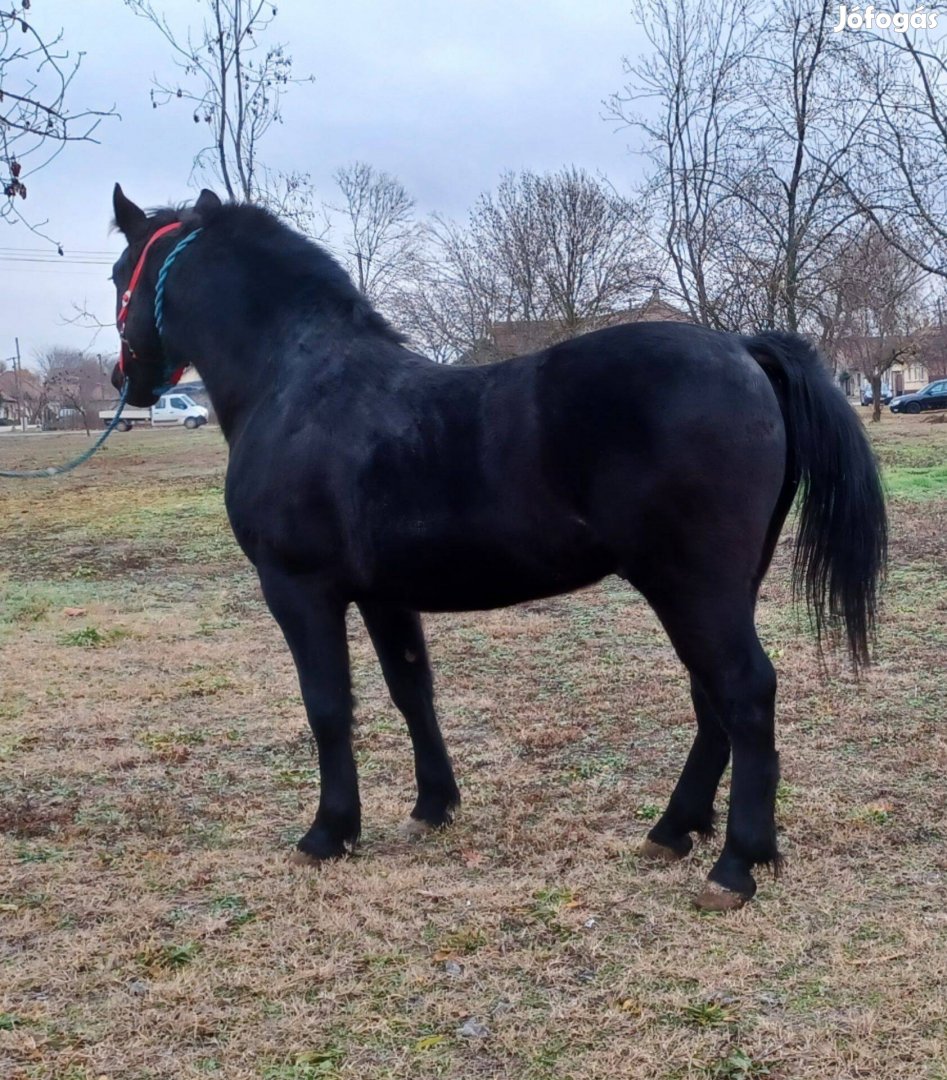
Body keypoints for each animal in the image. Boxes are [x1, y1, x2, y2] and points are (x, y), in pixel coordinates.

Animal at [110, 187, 885, 911]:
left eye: (121, 272)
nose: (127, 380)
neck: (300, 383)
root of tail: (742, 348)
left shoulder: (298, 588)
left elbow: (327, 706)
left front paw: (329, 832)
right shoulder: (386, 596)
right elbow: (410, 691)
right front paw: (431, 807)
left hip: (692, 586)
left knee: (744, 693)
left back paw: (735, 866)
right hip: (719, 588)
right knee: (711, 696)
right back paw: (674, 830)